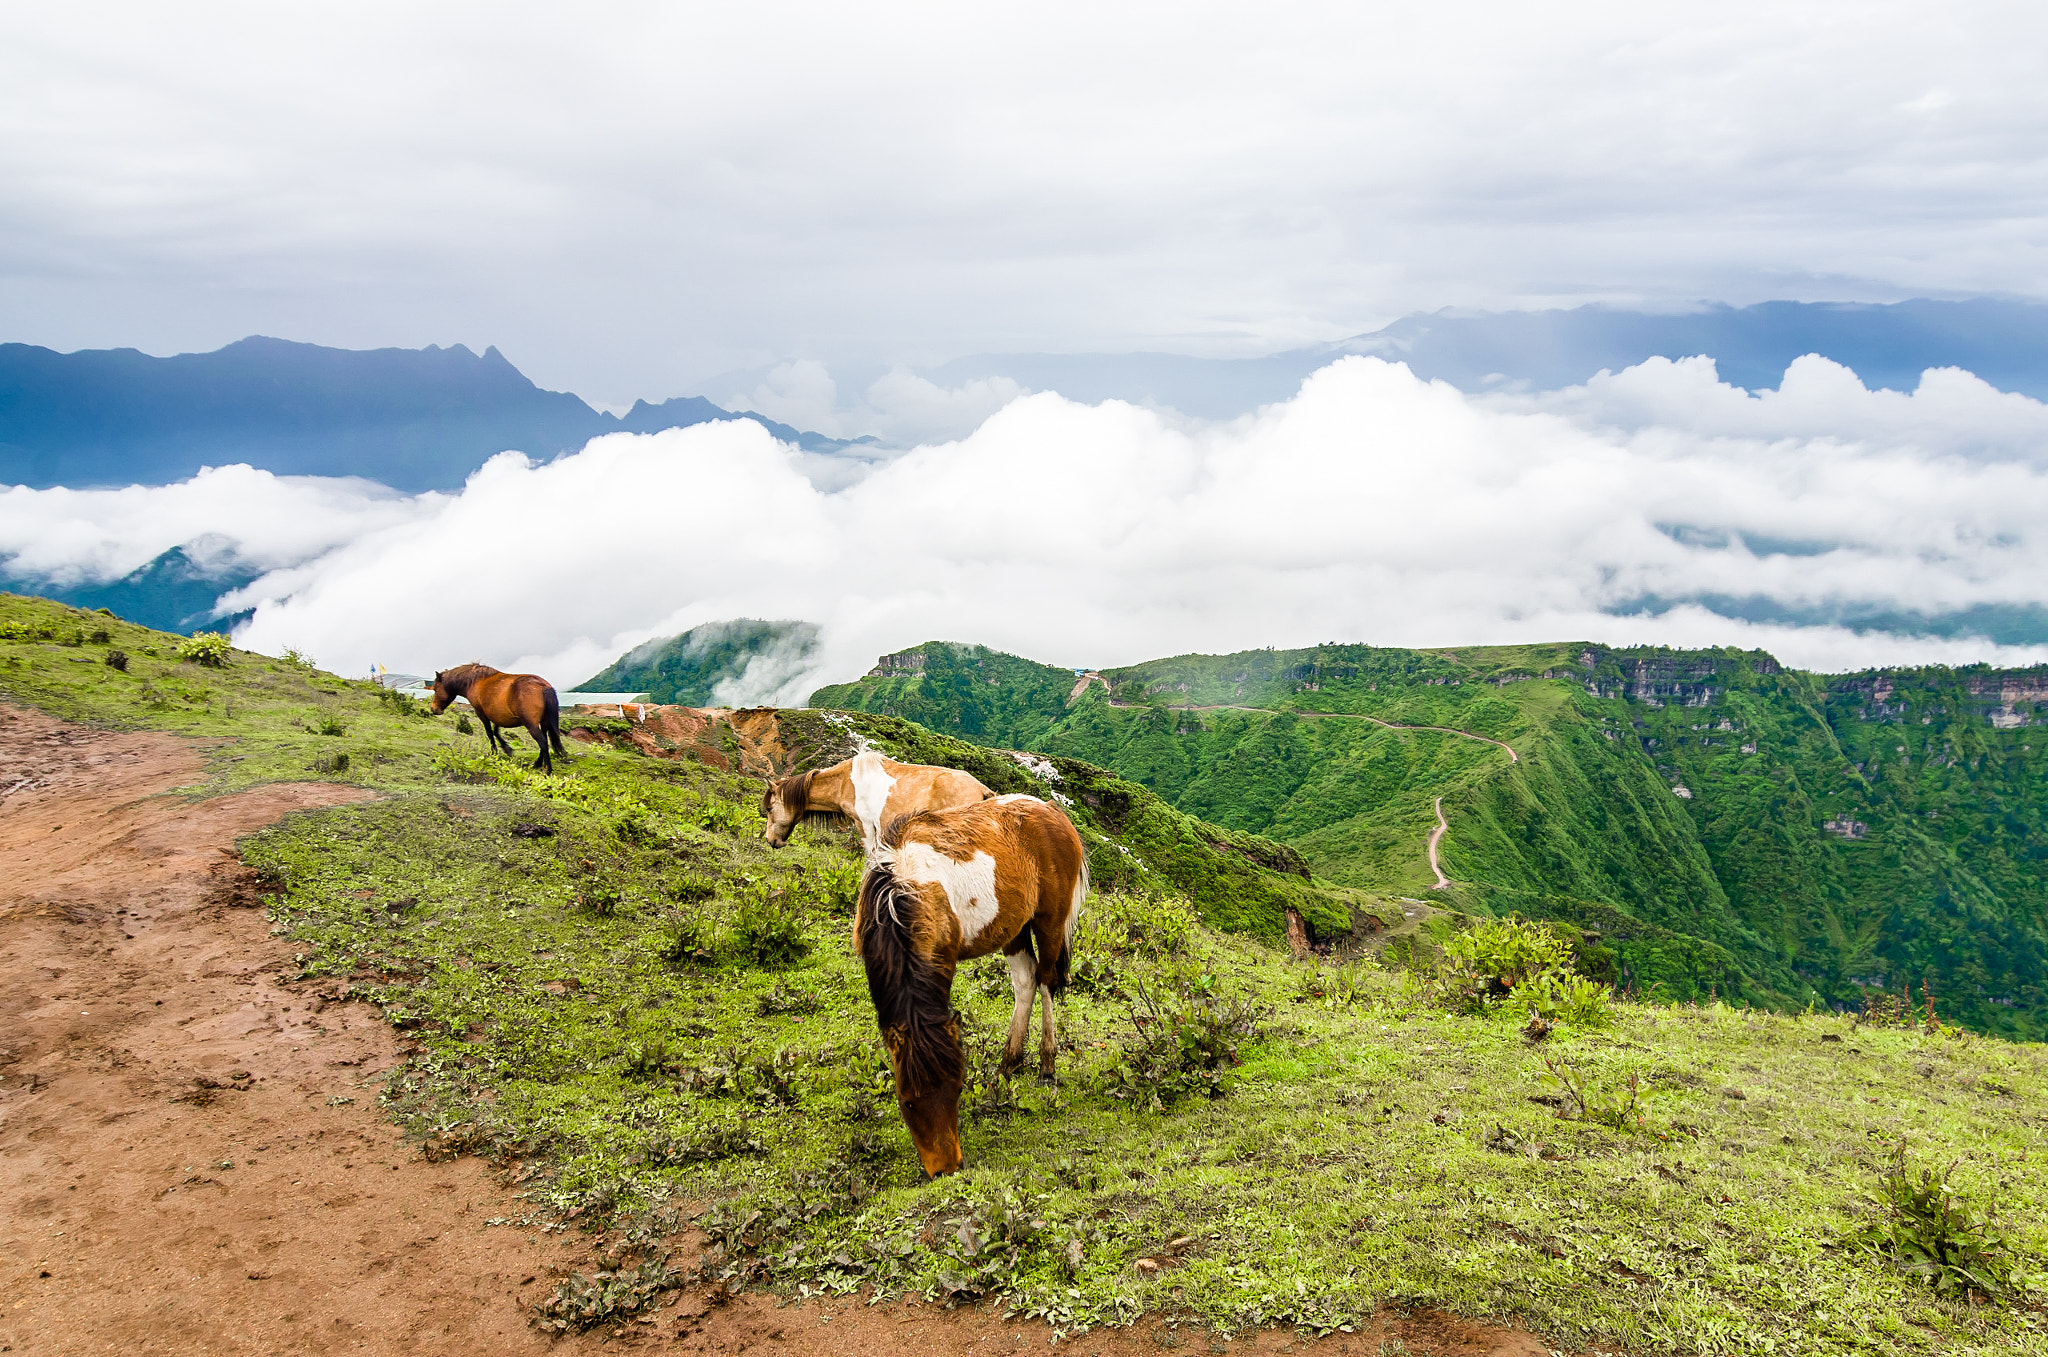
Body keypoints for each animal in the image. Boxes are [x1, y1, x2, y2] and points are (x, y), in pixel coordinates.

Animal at [428, 659, 565, 769]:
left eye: (435, 689)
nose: (433, 709)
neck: (475, 681)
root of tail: (543, 687)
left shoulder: (481, 712)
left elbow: (490, 732)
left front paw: (494, 753)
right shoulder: (498, 714)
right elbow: (495, 730)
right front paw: (507, 749)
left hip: (531, 724)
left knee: (542, 742)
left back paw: (547, 770)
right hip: (543, 722)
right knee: (544, 741)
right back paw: (537, 764)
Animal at [856, 798, 1089, 1178]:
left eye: (958, 1088)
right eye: (908, 1102)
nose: (947, 1170)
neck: (901, 891)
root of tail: (1052, 811)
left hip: (1049, 923)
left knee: (1045, 983)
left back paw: (1046, 1065)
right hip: (1014, 929)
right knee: (1025, 983)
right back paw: (1007, 1067)